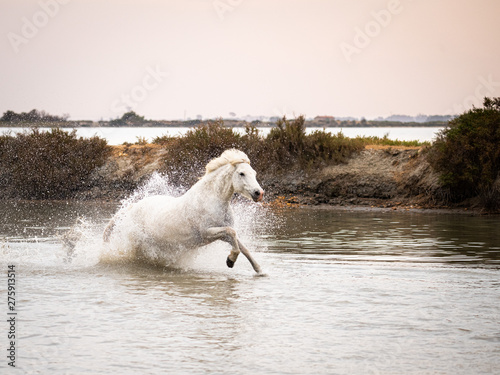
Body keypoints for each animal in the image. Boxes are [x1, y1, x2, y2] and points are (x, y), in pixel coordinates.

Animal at [102, 148, 266, 274]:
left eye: (254, 173)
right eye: (241, 173)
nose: (259, 193)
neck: (212, 200)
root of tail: (132, 207)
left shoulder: (223, 233)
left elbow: (242, 246)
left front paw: (260, 270)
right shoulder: (207, 232)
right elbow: (232, 236)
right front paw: (230, 261)